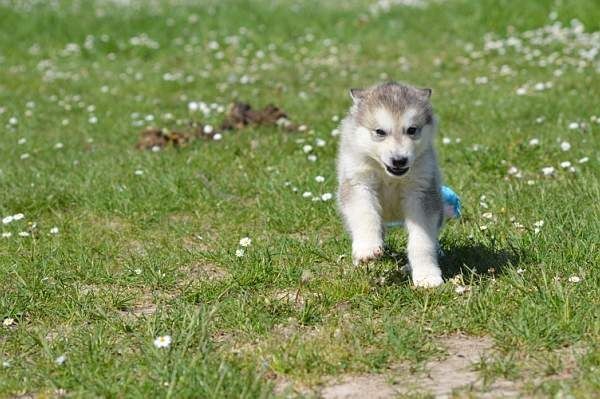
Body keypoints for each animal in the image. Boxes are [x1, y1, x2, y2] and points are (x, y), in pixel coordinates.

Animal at [338, 82, 446, 288]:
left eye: (412, 130)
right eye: (380, 132)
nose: (399, 160)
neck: (389, 175)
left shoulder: (421, 191)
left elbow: (422, 240)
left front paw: (427, 276)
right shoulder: (359, 184)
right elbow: (365, 215)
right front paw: (367, 248)